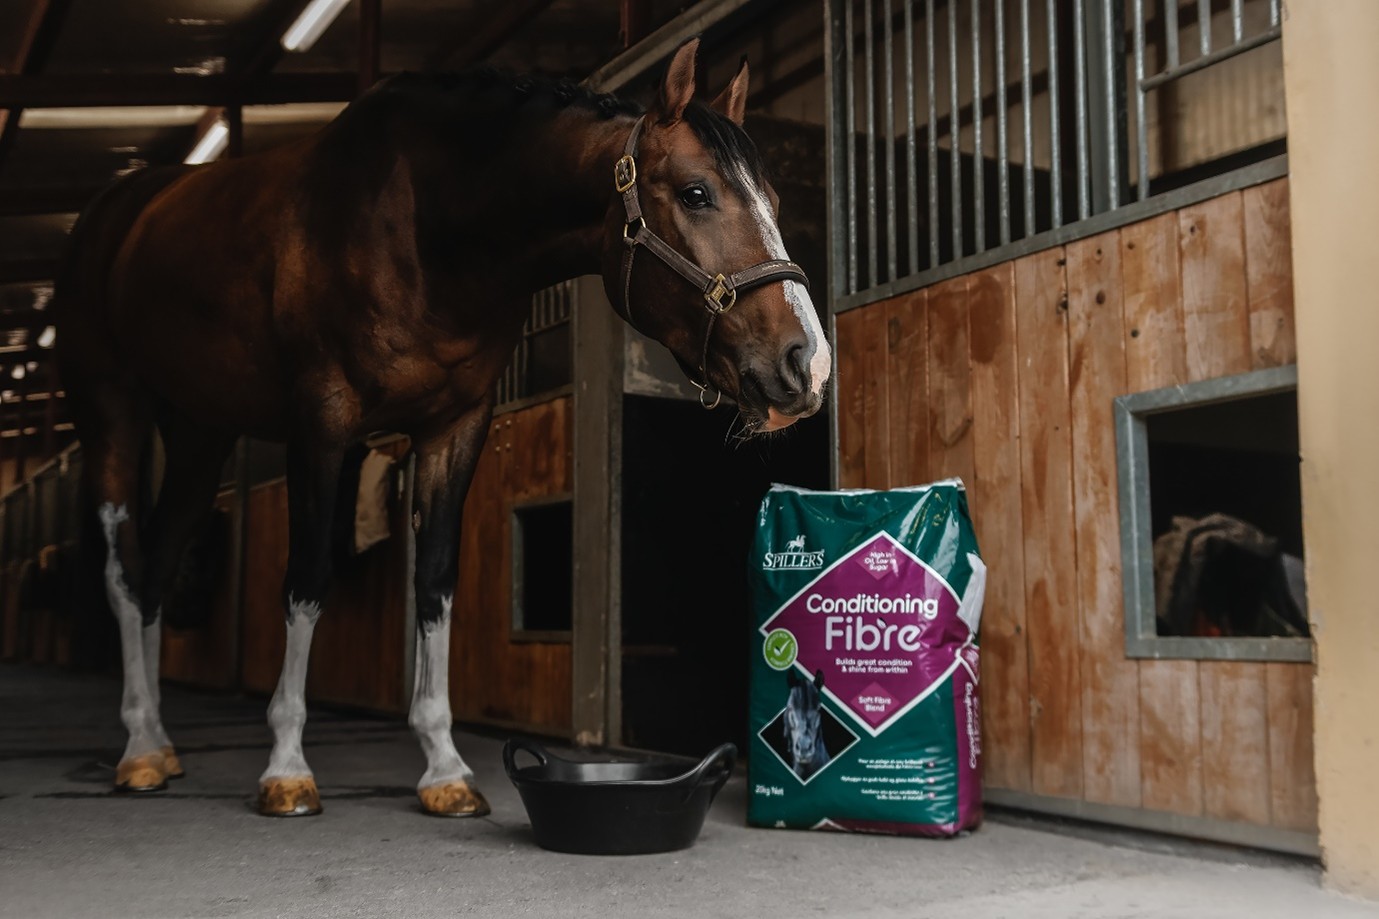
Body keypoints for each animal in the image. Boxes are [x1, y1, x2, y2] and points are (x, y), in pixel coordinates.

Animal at [51, 38, 831, 818]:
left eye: (775, 202)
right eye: (697, 193)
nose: (808, 365)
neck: (426, 227)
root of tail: (116, 209)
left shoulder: (455, 425)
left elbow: (434, 582)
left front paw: (445, 768)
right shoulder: (322, 419)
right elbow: (306, 579)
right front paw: (286, 767)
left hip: (198, 431)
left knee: (156, 569)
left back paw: (158, 743)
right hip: (112, 409)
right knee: (124, 572)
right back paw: (139, 748)